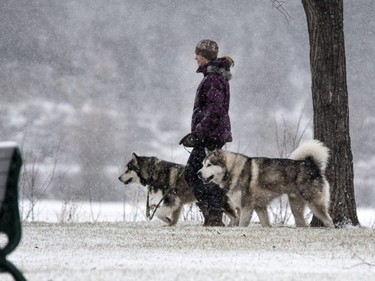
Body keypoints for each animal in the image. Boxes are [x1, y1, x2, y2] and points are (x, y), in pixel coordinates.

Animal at [198, 140, 336, 228]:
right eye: (203, 165)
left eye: (209, 165)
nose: (198, 173)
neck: (233, 170)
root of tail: (311, 165)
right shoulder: (260, 207)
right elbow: (266, 224)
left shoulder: (246, 207)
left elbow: (242, 224)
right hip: (296, 207)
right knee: (302, 223)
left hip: (314, 203)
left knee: (329, 220)